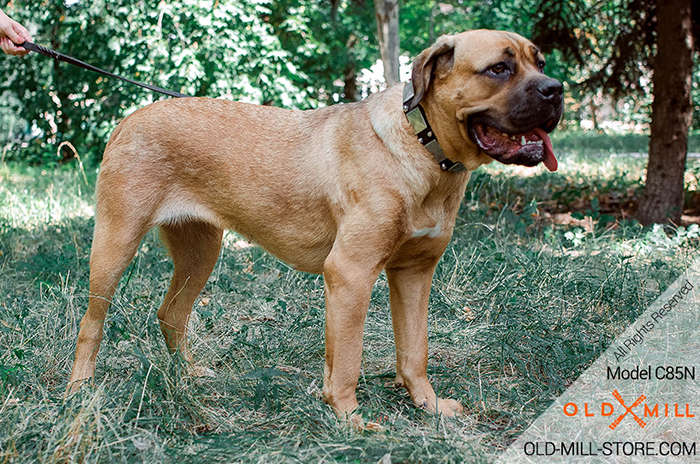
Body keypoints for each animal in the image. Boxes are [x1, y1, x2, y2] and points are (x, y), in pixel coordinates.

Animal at [67, 29, 564, 426]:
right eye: (498, 68)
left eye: (539, 63)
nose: (556, 90)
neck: (422, 145)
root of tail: (128, 120)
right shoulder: (350, 274)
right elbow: (345, 361)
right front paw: (349, 418)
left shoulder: (414, 274)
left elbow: (415, 352)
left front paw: (428, 405)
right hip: (115, 245)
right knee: (92, 324)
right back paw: (79, 389)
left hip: (200, 251)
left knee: (171, 313)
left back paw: (187, 375)